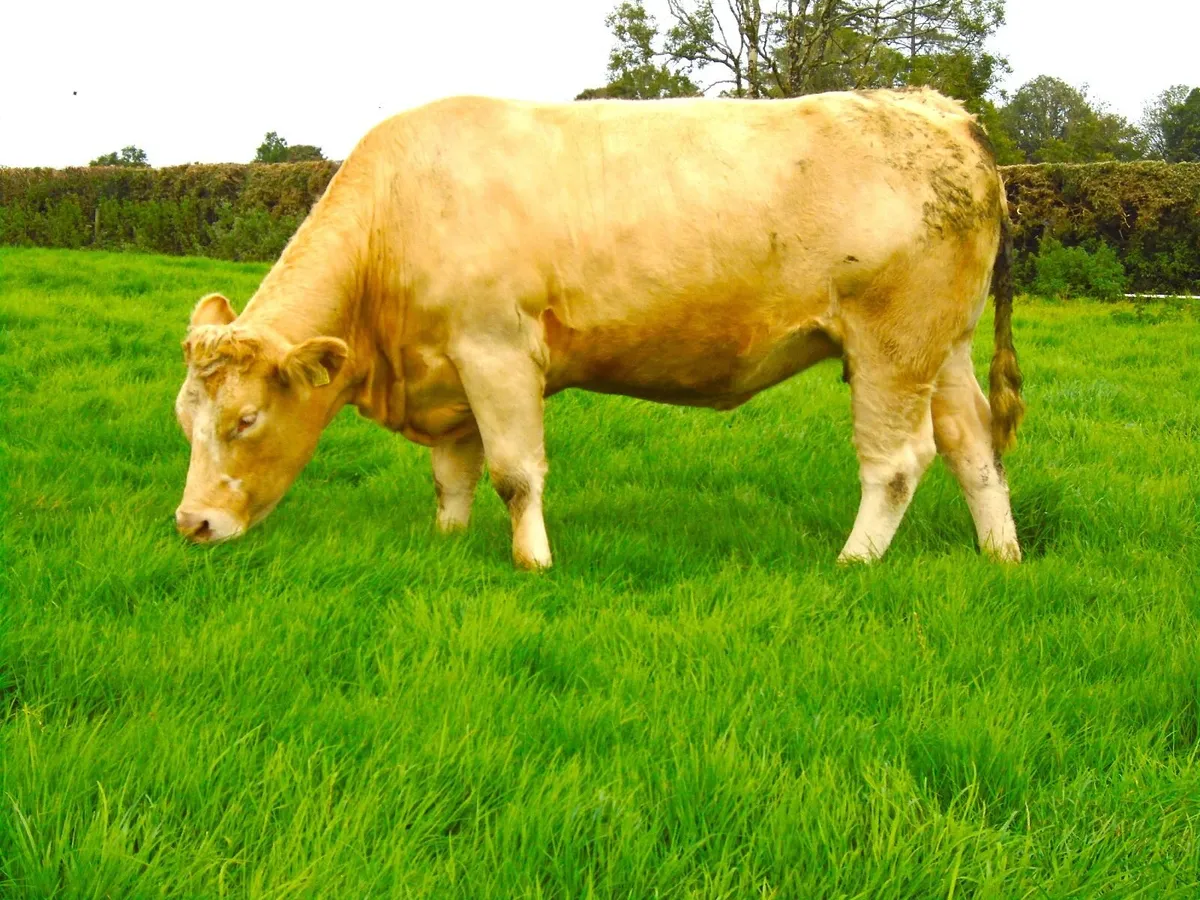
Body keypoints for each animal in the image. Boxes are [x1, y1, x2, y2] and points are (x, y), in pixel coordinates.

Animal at [174, 89, 1024, 569]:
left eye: (245, 419)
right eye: (186, 420)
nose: (193, 523)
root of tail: (942, 111)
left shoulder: (496, 352)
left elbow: (515, 474)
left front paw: (535, 563)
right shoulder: (447, 368)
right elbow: (453, 475)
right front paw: (447, 544)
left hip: (892, 344)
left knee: (898, 462)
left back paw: (855, 562)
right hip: (942, 345)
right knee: (973, 445)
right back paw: (1002, 556)